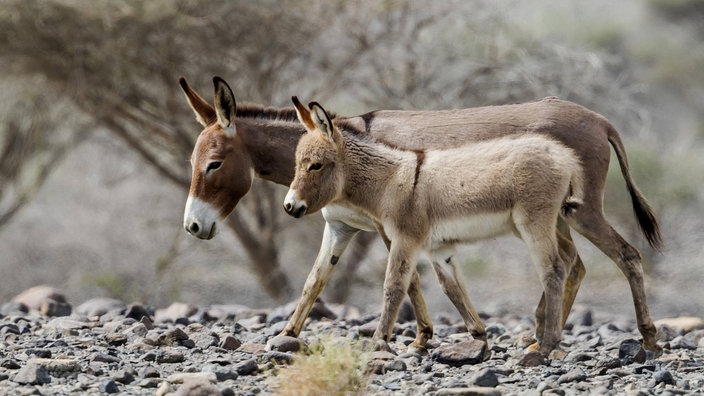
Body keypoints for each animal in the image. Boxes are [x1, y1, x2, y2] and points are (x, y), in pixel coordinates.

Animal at [284, 98, 584, 358]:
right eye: (297, 163)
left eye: (315, 165)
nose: (289, 206)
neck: (391, 181)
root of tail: (566, 157)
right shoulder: (439, 247)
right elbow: (453, 287)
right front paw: (478, 338)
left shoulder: (405, 239)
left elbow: (394, 286)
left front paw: (379, 340)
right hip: (546, 223)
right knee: (565, 264)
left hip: (534, 222)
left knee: (553, 270)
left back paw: (547, 345)